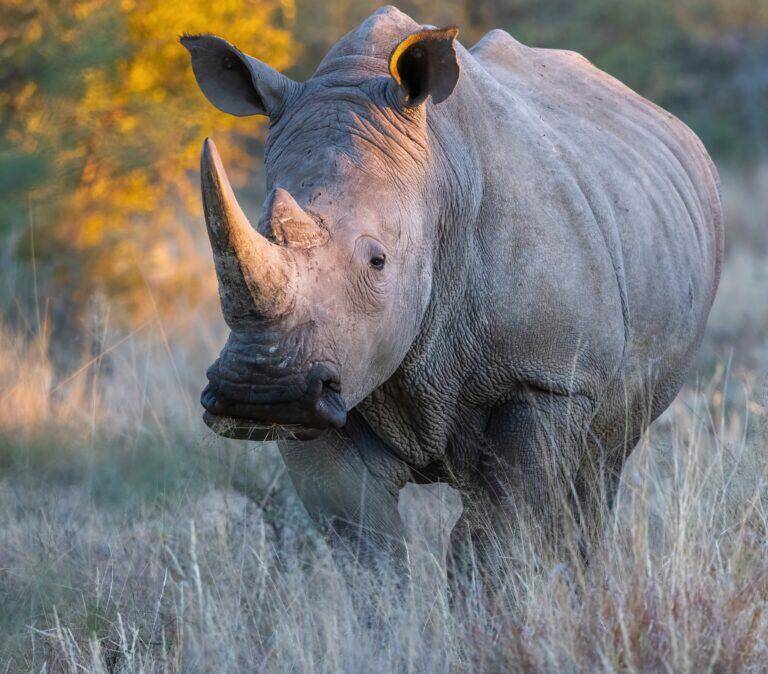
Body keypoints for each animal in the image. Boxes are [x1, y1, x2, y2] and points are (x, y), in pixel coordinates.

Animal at [181, 6, 722, 575]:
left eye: (378, 262)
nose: (259, 392)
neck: (438, 178)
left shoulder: (547, 375)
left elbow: (496, 534)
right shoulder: (330, 381)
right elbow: (363, 542)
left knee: (598, 468)